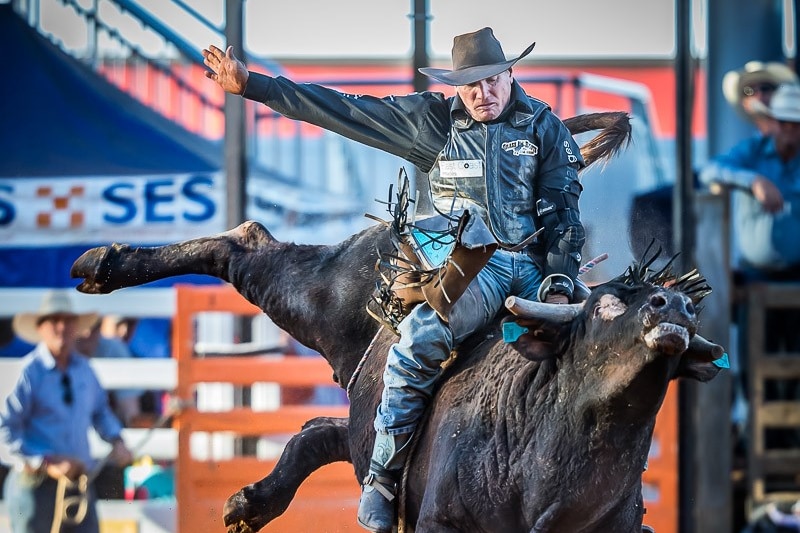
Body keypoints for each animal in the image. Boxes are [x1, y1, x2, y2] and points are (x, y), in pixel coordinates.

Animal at [72, 111, 728, 528]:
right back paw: (103, 263)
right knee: (247, 241)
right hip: (318, 299)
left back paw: (254, 502)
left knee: (326, 431)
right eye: (608, 304)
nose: (674, 306)